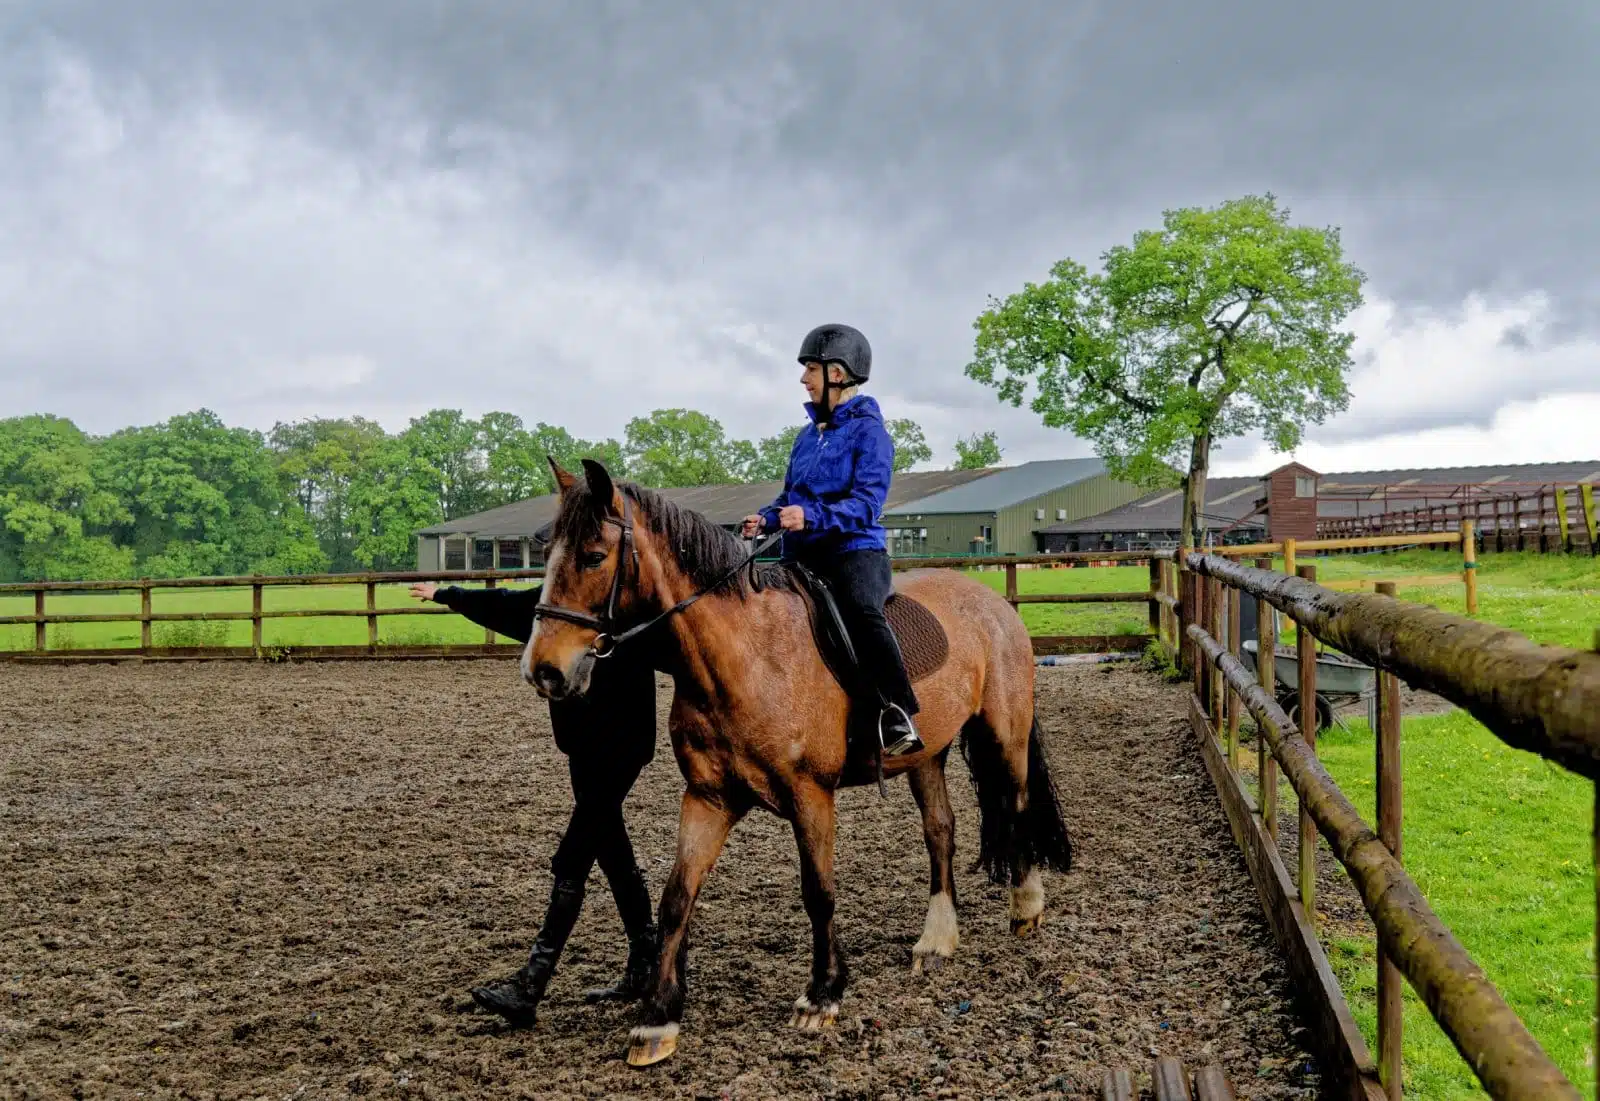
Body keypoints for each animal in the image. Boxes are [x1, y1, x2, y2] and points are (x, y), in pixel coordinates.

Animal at [528, 457, 1075, 1068]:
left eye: (594, 556)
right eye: (547, 553)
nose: (545, 670)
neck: (744, 656)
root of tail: (994, 602)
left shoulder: (810, 794)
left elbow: (818, 891)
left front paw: (822, 994)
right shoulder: (708, 798)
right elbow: (676, 898)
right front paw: (656, 1020)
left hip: (1006, 733)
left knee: (1018, 804)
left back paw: (1026, 906)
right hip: (927, 754)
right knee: (941, 830)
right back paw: (936, 940)